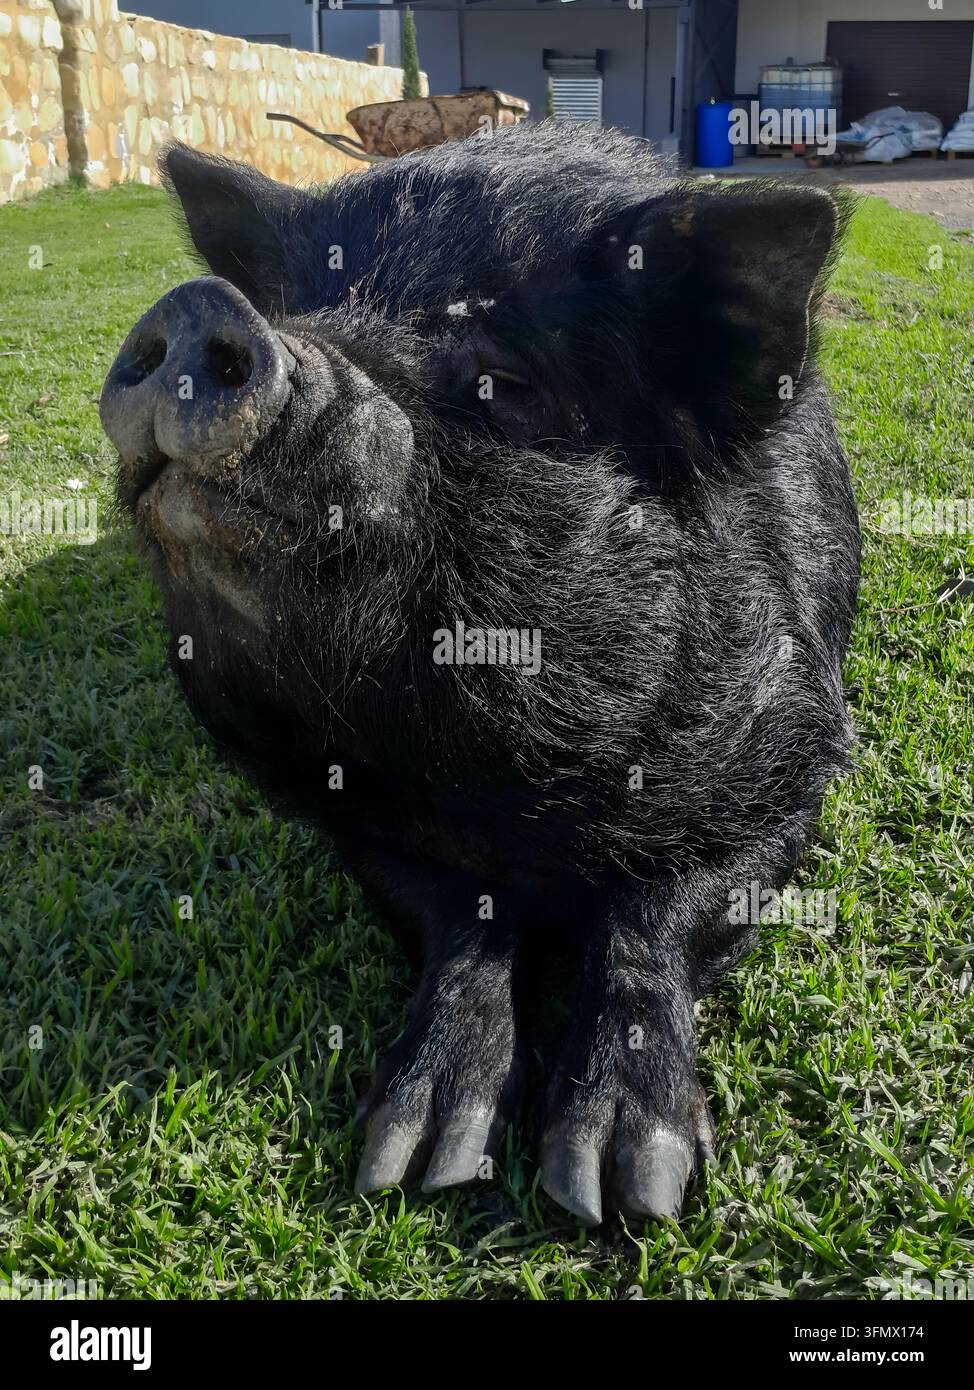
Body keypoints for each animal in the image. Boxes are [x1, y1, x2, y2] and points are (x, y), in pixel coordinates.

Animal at [100, 122, 860, 1226]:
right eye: (294, 306)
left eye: (503, 377)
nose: (202, 307)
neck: (504, 778)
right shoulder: (352, 816)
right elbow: (457, 914)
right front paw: (416, 1157)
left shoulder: (791, 761)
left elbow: (661, 911)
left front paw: (616, 1187)